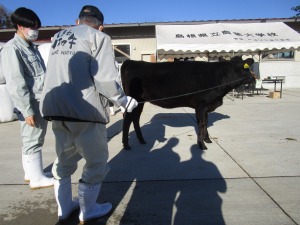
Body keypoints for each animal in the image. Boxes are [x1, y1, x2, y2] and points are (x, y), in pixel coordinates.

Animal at [120, 56, 254, 150]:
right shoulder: (201, 105)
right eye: (245, 67)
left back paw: (141, 140)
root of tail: (131, 62)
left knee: (135, 118)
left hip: (140, 101)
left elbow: (206, 123)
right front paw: (202, 145)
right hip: (133, 99)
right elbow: (201, 124)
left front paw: (207, 139)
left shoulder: (207, 106)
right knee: (127, 119)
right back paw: (126, 145)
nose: (254, 77)